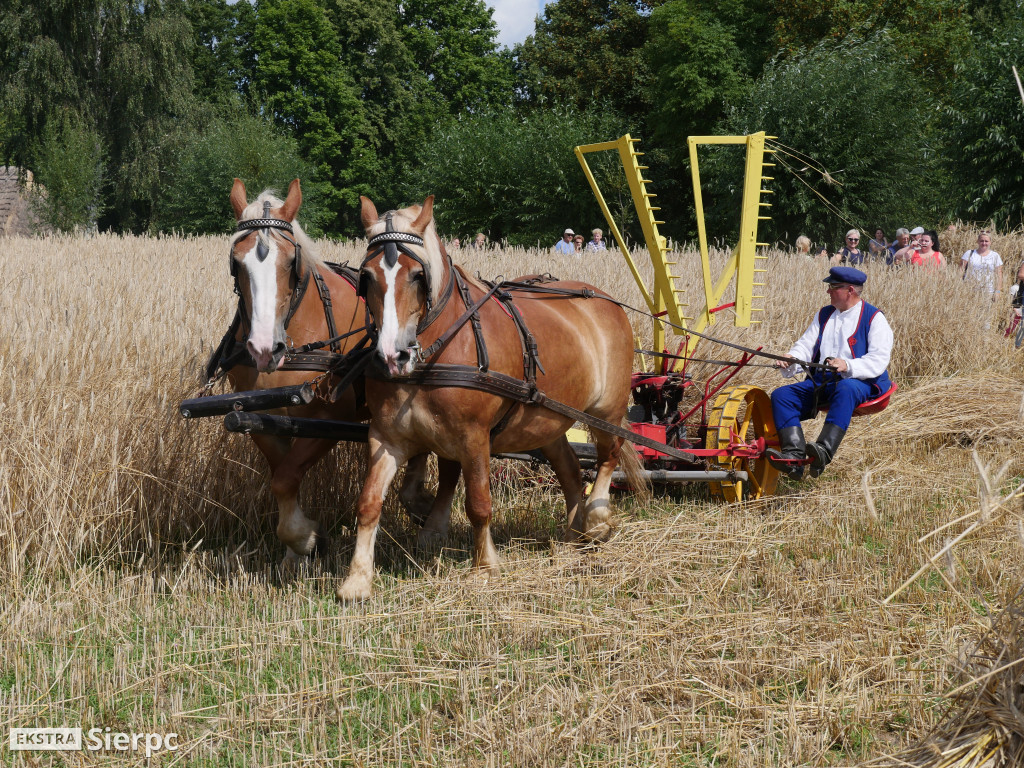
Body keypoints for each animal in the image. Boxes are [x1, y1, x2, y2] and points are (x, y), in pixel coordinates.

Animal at [220, 180, 452, 565]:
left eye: (291, 261)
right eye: (236, 262)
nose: (264, 348)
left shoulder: (330, 416)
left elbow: (285, 478)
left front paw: (306, 539)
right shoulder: (263, 419)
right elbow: (283, 477)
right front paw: (296, 547)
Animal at [335, 193, 638, 602]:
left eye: (418, 276)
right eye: (366, 277)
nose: (390, 357)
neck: (432, 354)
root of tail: (605, 300)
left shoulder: (473, 437)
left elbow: (478, 502)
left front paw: (485, 567)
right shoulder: (386, 437)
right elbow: (369, 502)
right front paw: (357, 579)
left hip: (606, 411)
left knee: (609, 456)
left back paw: (596, 519)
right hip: (546, 421)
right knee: (571, 469)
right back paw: (573, 535)